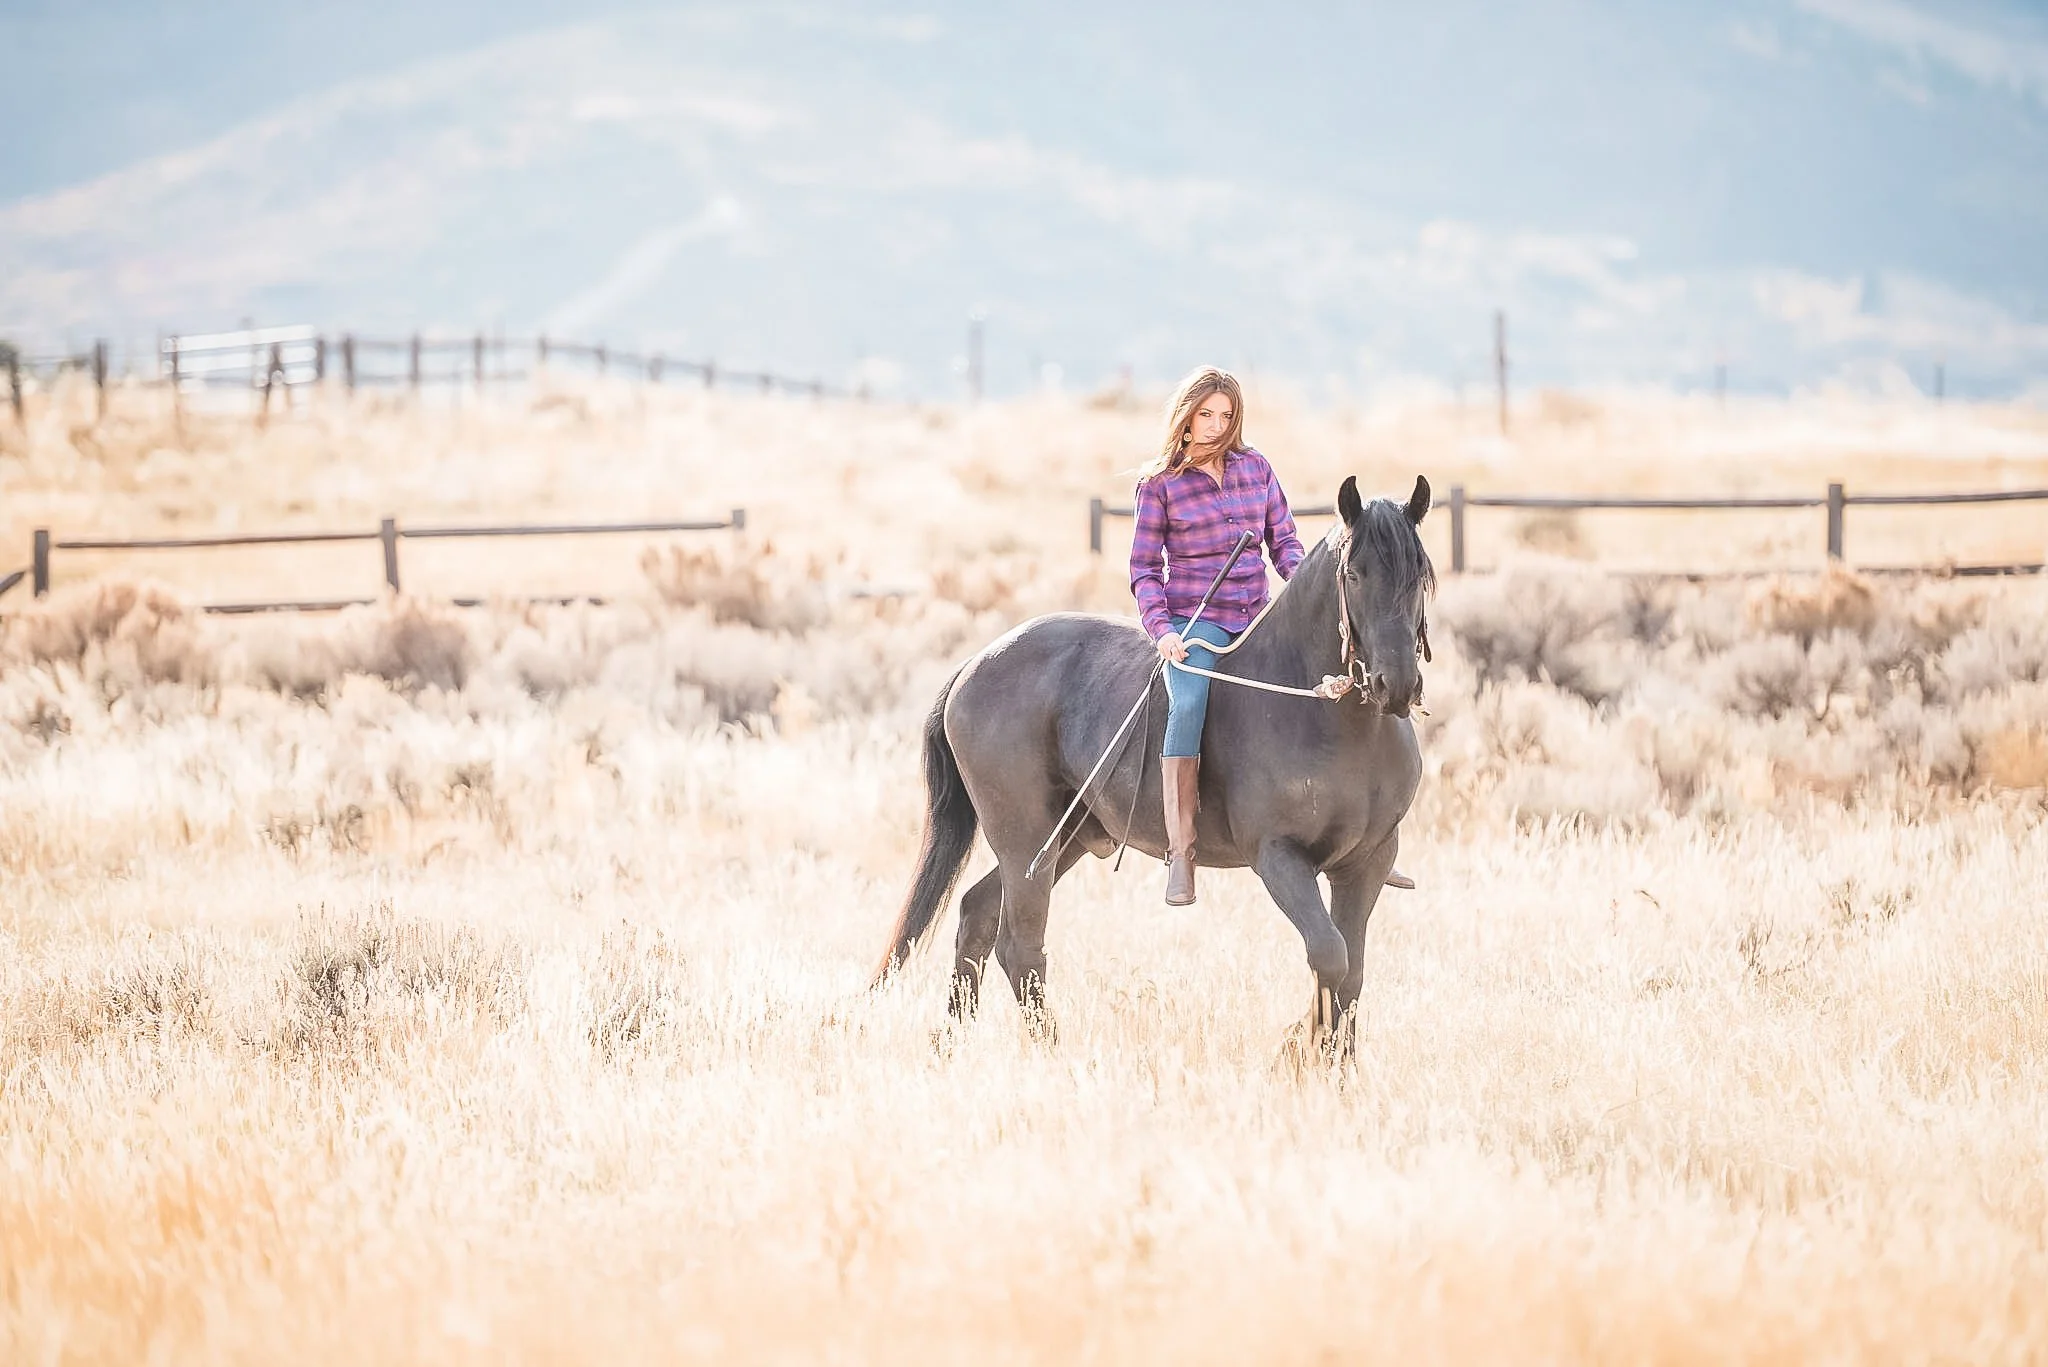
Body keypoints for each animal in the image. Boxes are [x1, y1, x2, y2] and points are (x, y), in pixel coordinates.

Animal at [874, 475, 1435, 1057]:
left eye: (1420, 573)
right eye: (1354, 574)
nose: (1395, 684)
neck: (1323, 712)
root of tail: (974, 664)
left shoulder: (1367, 862)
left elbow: (1352, 971)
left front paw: (1335, 1064)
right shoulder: (1279, 858)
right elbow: (1329, 954)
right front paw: (1295, 1052)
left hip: (1063, 839)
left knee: (978, 915)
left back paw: (950, 1042)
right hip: (1025, 841)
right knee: (1020, 945)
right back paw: (1052, 1053)